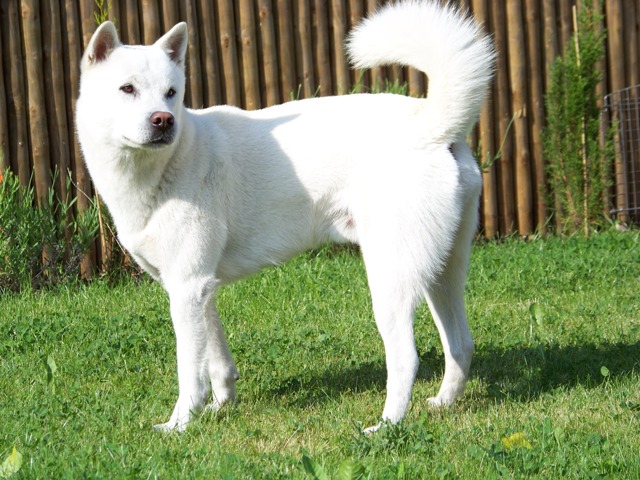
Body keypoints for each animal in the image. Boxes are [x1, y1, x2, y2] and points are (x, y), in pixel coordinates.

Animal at [76, 0, 496, 434]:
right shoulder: (198, 288)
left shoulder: (188, 289)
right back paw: (443, 404)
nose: (163, 120)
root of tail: (431, 125)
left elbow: (190, 371)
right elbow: (217, 360)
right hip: (442, 271)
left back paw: (385, 426)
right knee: (461, 343)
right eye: (127, 89)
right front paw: (221, 407)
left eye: (171, 93)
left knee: (405, 358)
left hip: (390, 278)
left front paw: (179, 424)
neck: (168, 164)